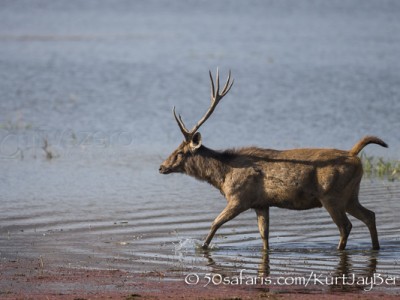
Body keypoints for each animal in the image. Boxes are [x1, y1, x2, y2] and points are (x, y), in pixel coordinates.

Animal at [159, 69, 388, 251]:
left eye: (180, 152)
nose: (161, 167)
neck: (223, 176)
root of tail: (353, 153)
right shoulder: (261, 203)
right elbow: (264, 236)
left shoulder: (239, 198)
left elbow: (215, 223)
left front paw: (201, 247)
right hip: (350, 195)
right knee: (370, 215)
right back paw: (376, 247)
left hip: (332, 195)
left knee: (346, 226)